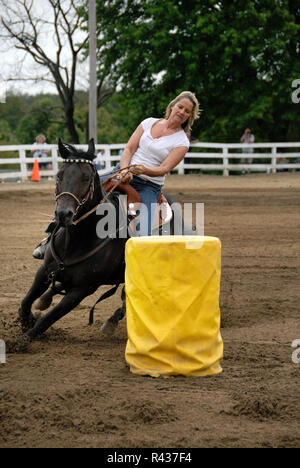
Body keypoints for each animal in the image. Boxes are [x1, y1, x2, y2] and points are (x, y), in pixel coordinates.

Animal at [19, 138, 183, 340]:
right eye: (59, 175)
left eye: (86, 178)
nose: (63, 214)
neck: (77, 241)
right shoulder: (44, 270)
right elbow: (25, 302)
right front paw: (26, 320)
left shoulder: (82, 289)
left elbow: (47, 319)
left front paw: (23, 339)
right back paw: (44, 299)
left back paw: (111, 322)